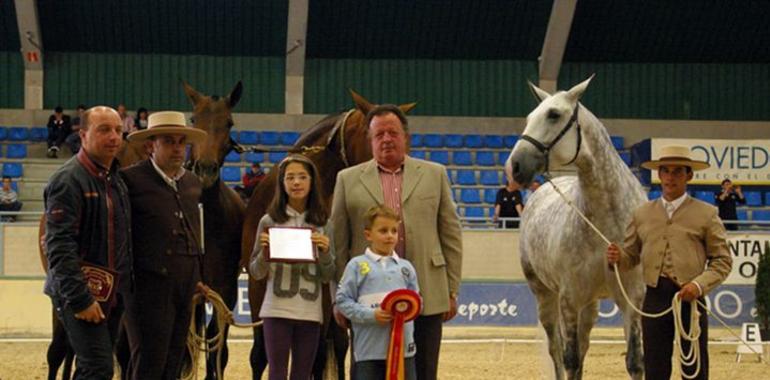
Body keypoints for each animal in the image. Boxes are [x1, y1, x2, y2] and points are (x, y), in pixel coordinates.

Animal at [39, 81, 244, 380]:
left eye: (228, 122)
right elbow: (129, 354)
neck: (206, 219)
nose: (205, 169)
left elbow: (217, 355)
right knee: (60, 350)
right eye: (195, 119)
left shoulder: (222, 293)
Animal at [242, 90, 416, 378]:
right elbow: (260, 354)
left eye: (406, 135)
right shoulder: (256, 286)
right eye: (378, 135)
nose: (399, 164)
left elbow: (321, 354)